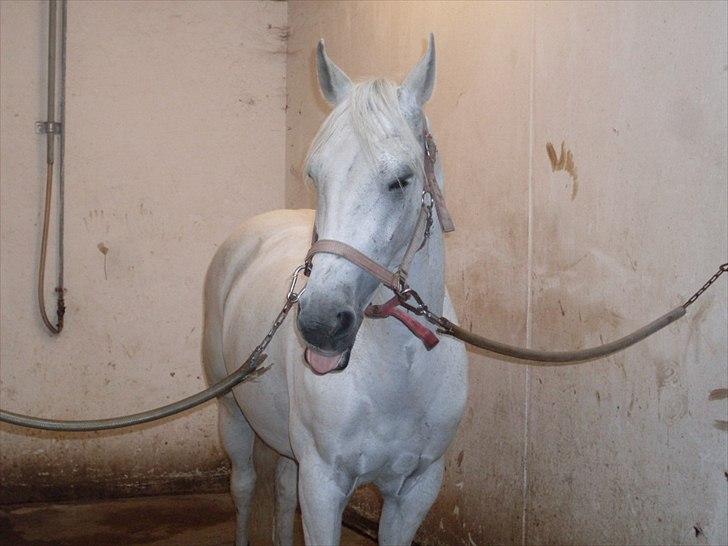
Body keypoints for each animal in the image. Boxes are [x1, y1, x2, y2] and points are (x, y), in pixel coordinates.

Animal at [203, 35, 468, 546]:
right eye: (314, 174)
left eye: (402, 179)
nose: (321, 323)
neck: (396, 371)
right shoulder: (324, 485)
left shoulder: (417, 489)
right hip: (233, 414)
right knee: (244, 488)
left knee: (281, 493)